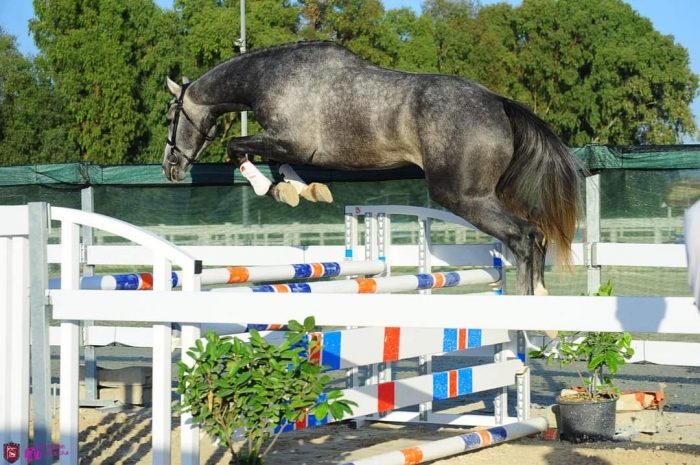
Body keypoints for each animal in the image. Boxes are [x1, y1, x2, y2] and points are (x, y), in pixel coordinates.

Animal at [163, 41, 580, 295]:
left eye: (170, 116)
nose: (171, 167)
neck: (270, 76)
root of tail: (499, 103)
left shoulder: (292, 140)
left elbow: (239, 148)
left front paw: (274, 189)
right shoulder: (288, 144)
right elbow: (279, 164)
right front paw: (304, 191)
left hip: (464, 196)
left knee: (525, 236)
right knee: (537, 236)